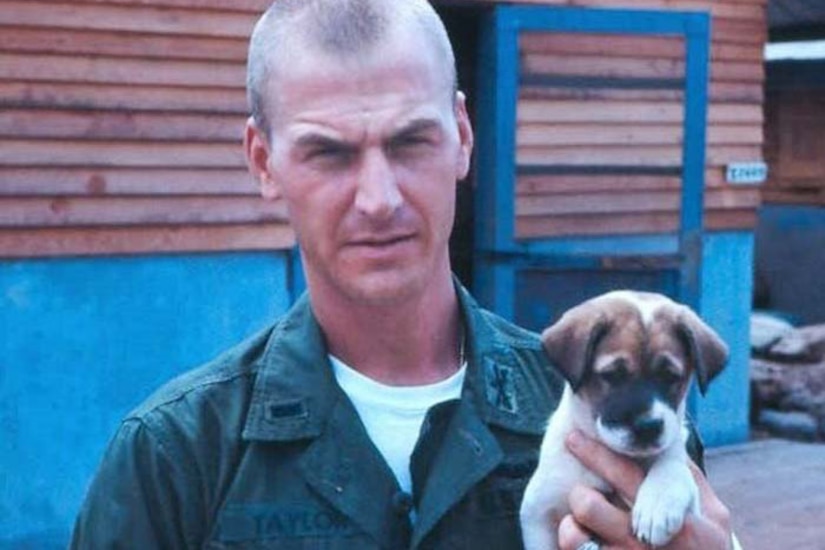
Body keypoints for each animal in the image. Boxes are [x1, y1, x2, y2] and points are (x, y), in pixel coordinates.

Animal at [520, 292, 728, 548]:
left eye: (670, 376)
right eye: (613, 375)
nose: (648, 427)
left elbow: (672, 464)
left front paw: (657, 502)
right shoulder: (538, 512)